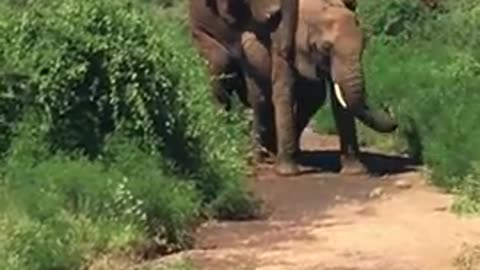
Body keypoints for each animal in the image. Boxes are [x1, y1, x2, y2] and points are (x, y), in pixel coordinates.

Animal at [238, 0, 400, 174]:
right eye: (326, 47)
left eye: (364, 45)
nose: (390, 109)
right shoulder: (281, 45)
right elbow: (285, 93)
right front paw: (288, 173)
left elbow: (339, 102)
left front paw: (355, 171)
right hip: (248, 59)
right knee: (261, 101)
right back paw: (262, 159)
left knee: (313, 98)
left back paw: (281, 154)